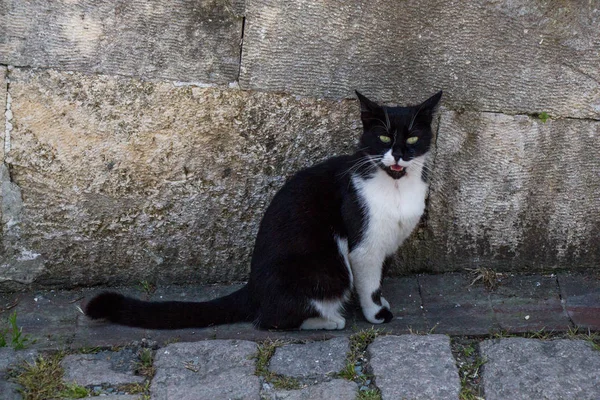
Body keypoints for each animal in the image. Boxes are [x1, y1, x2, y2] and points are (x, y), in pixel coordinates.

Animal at [83, 90, 440, 332]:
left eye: (412, 137)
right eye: (382, 136)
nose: (398, 155)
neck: (396, 187)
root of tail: (253, 286)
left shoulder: (390, 242)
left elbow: (379, 279)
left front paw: (381, 303)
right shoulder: (364, 244)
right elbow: (369, 282)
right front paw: (376, 314)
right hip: (322, 269)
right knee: (271, 319)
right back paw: (328, 320)